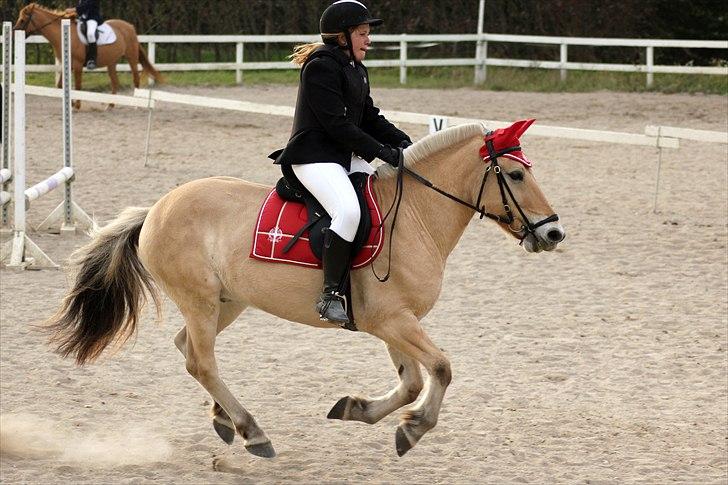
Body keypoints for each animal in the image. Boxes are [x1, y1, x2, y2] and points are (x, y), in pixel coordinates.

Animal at [14, 3, 162, 109]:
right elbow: (60, 85)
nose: (14, 32)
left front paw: (77, 105)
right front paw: (71, 103)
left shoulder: (78, 65)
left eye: (22, 20)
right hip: (111, 62)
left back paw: (136, 104)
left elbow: (78, 86)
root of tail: (130, 27)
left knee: (136, 80)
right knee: (115, 82)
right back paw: (110, 105)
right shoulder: (67, 65)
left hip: (131, 58)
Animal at [45, 120, 565, 458]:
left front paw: (359, 410)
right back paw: (252, 431)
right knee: (201, 362)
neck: (415, 215)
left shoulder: (393, 323)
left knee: (187, 350)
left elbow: (412, 380)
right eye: (516, 175)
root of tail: (156, 209)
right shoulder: (393, 321)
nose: (554, 233)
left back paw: (224, 419)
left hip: (225, 303)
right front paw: (415, 428)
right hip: (200, 301)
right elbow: (440, 368)